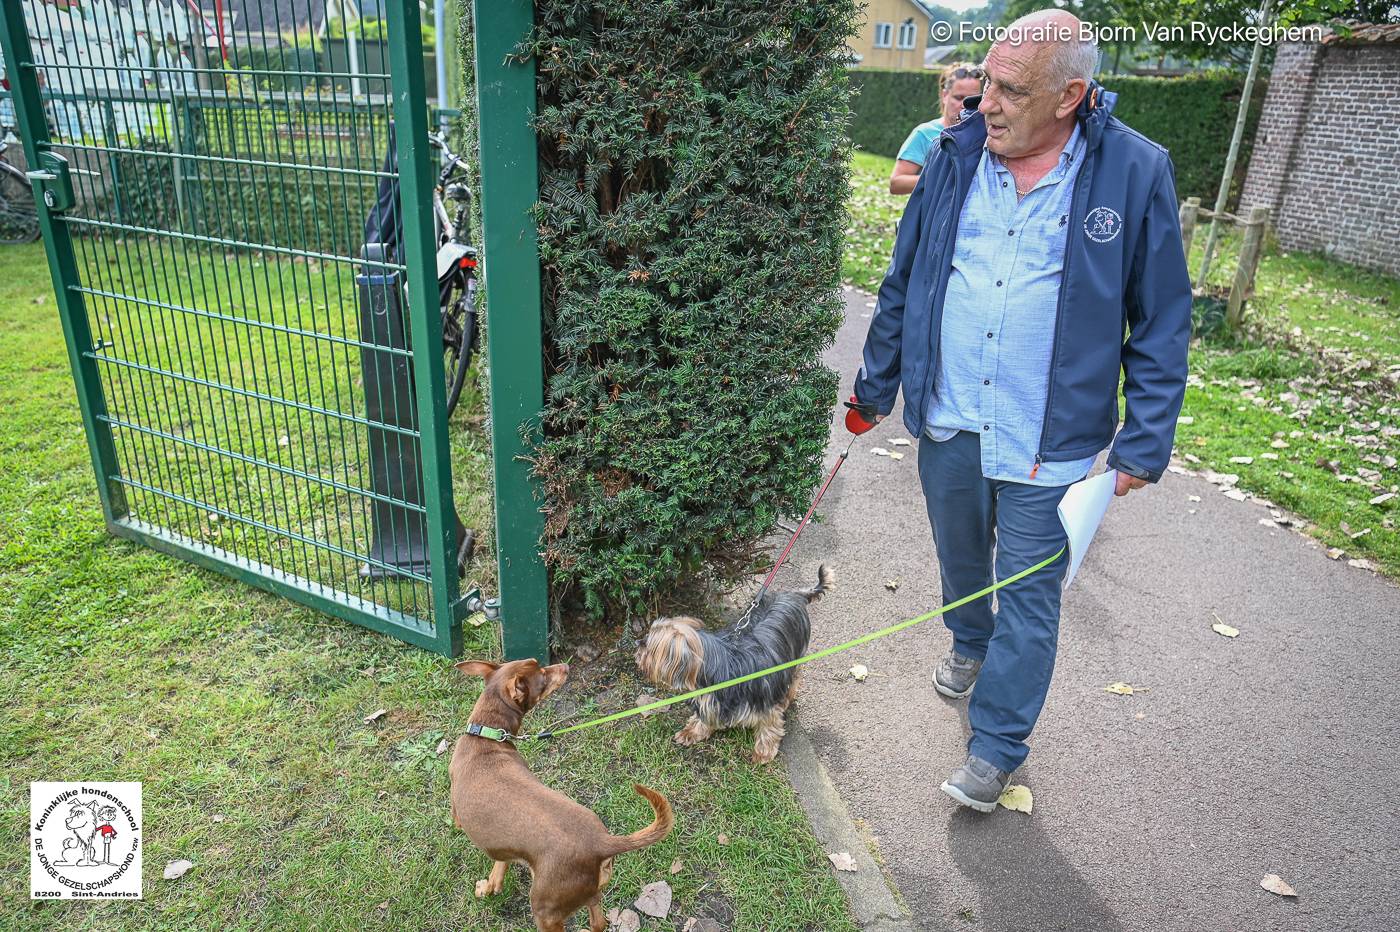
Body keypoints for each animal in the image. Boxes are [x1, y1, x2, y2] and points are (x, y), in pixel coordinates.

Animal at [445, 657, 669, 923]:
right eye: (542, 674)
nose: (565, 666)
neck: (486, 735)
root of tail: (602, 842)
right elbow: (500, 864)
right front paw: (492, 885)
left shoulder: (458, 816)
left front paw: (486, 887)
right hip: (591, 895)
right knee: (598, 923)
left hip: (546, 908)